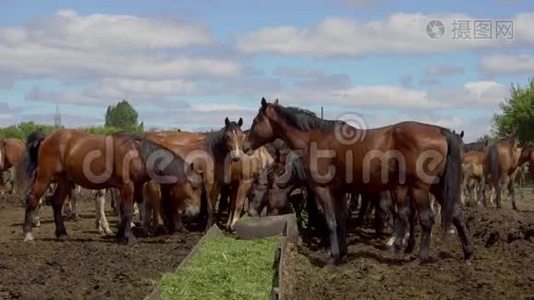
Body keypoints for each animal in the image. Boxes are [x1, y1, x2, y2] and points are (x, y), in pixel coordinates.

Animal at [243, 98, 474, 264]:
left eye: (255, 121)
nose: (245, 146)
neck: (315, 140)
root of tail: (441, 131)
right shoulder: (338, 191)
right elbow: (341, 220)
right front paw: (342, 252)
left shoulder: (322, 190)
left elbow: (331, 221)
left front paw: (332, 257)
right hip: (438, 187)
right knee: (456, 213)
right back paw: (468, 253)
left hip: (419, 188)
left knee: (426, 219)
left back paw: (419, 258)